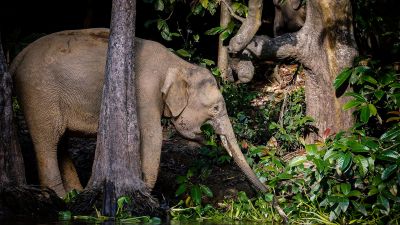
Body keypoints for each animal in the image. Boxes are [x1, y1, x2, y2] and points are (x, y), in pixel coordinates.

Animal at [10, 28, 268, 197]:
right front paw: (145, 197)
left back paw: (77, 194)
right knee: (47, 141)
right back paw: (61, 199)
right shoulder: (144, 92)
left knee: (60, 141)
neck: (178, 64)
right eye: (215, 108)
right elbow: (152, 137)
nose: (269, 193)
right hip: (39, 94)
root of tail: (16, 58)